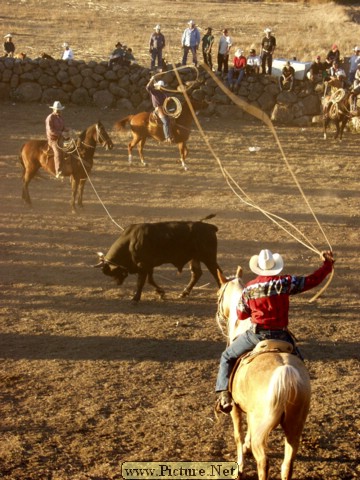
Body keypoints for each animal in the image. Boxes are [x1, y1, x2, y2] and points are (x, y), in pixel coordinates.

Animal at [215, 268, 310, 478]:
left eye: (218, 294)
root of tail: (285, 372)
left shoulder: (235, 409)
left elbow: (238, 436)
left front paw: (239, 467)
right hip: (294, 428)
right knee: (287, 465)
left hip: (265, 430)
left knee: (264, 463)